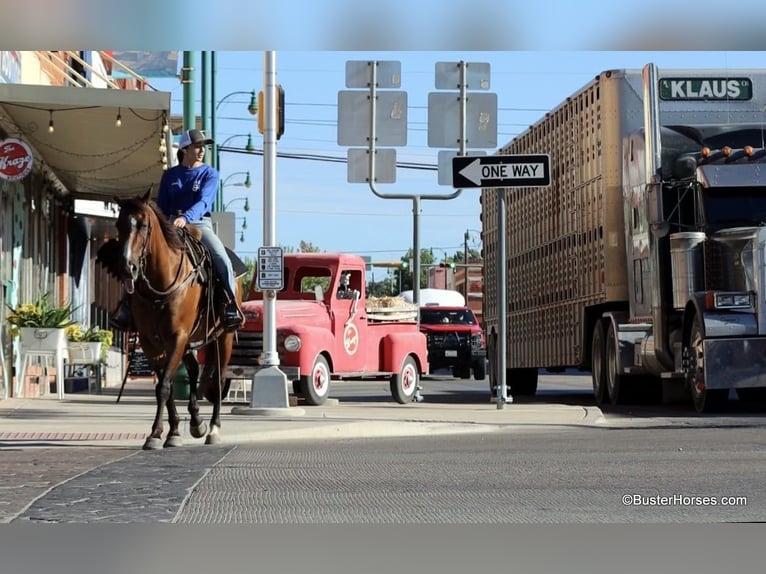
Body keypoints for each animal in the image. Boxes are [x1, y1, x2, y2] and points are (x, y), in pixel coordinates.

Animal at [99, 189, 243, 450]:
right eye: (118, 224)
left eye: (144, 224)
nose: (127, 268)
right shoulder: (150, 341)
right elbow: (163, 386)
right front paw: (171, 431)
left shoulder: (177, 336)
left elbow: (165, 384)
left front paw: (157, 434)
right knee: (194, 370)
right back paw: (196, 421)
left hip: (223, 337)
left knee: (218, 379)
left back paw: (213, 428)